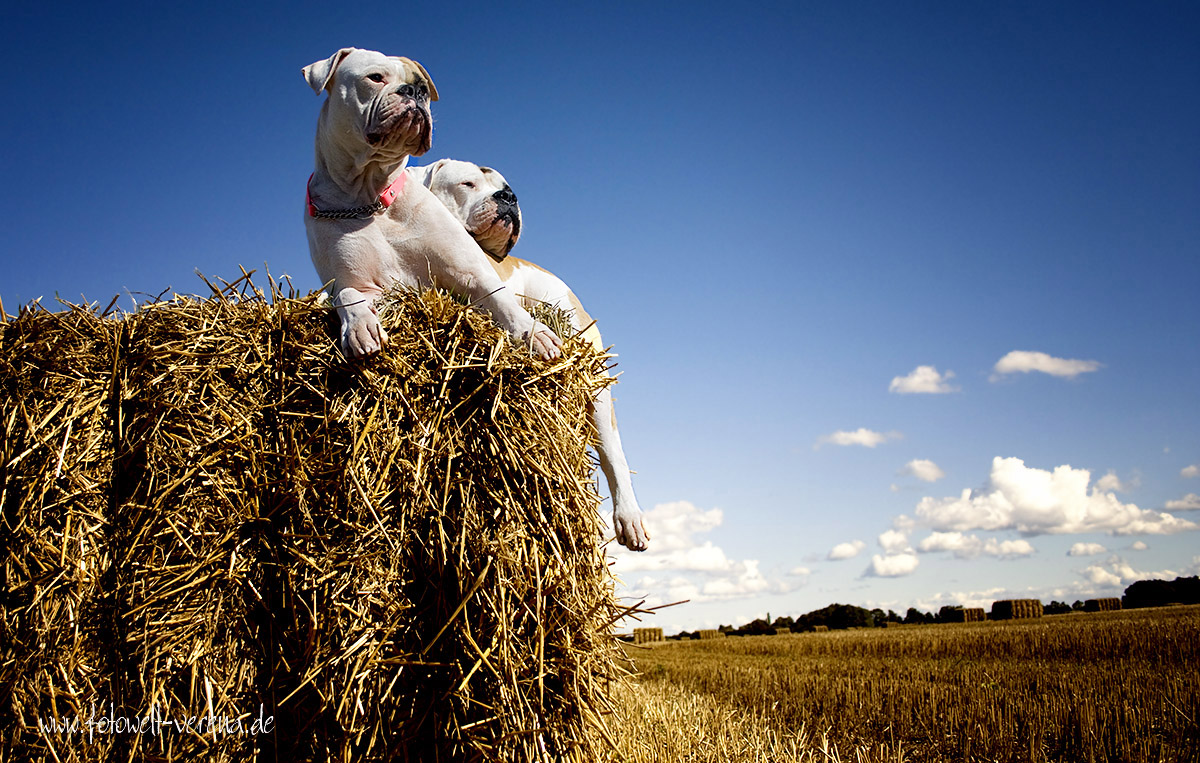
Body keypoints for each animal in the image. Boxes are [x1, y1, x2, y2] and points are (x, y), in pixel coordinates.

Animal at [300, 47, 561, 359]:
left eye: (422, 87)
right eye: (375, 77)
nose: (413, 91)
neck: (372, 197)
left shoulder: (471, 275)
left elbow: (503, 301)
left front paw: (534, 333)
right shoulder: (358, 283)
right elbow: (345, 294)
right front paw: (360, 326)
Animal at [412, 159, 652, 554]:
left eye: (505, 185)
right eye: (467, 183)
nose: (508, 196)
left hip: (597, 387)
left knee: (613, 454)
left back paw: (629, 517)